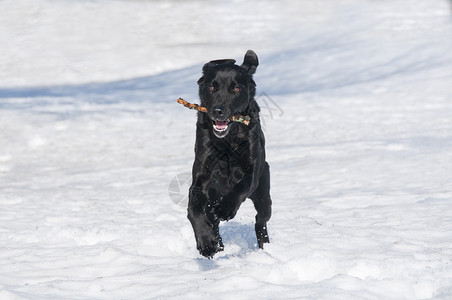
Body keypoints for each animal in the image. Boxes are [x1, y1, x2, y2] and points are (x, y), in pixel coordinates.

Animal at [187, 49, 272, 258]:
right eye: (212, 87)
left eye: (236, 89)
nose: (218, 111)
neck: (227, 141)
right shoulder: (200, 181)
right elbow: (194, 211)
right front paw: (206, 243)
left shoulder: (252, 171)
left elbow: (240, 186)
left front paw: (225, 208)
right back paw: (216, 242)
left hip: (264, 194)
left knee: (260, 221)